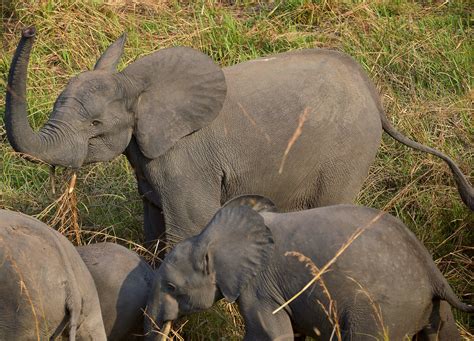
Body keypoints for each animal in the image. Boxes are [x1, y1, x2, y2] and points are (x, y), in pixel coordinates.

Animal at [3, 25, 470, 247]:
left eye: (96, 125)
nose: (28, 30)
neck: (137, 84)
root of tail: (373, 93)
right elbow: (153, 228)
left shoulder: (183, 160)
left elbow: (187, 228)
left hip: (348, 150)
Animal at [146, 195, 472, 338]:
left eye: (171, 287)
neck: (210, 234)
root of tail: (432, 271)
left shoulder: (259, 289)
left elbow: (270, 335)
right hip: (432, 307)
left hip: (382, 310)